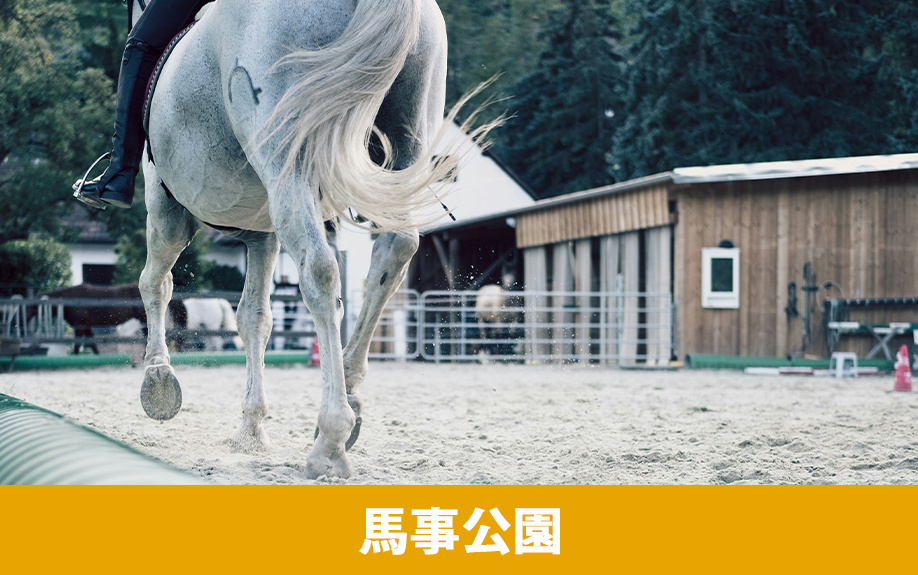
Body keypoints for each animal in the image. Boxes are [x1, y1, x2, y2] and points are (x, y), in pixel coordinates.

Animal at [132, 0, 489, 479]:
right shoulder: (261, 233)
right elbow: (255, 318)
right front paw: (251, 429)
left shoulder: (165, 204)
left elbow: (156, 283)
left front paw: (157, 379)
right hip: (406, 136)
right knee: (395, 249)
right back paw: (350, 396)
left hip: (287, 162)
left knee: (320, 272)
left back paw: (331, 439)